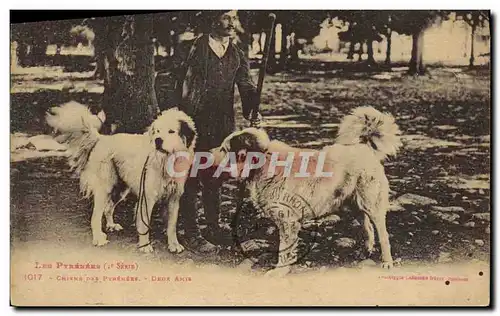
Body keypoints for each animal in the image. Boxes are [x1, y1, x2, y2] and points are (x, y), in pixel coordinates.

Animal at [46, 102, 196, 254]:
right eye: (157, 131)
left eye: (171, 131)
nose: (157, 140)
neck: (166, 161)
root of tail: (101, 138)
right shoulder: (147, 198)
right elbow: (144, 224)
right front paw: (145, 245)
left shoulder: (174, 198)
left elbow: (172, 225)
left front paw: (174, 244)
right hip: (105, 188)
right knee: (96, 216)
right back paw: (98, 238)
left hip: (120, 189)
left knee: (108, 208)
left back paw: (111, 225)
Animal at [210, 105, 402, 274]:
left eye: (224, 149)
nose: (208, 153)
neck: (264, 162)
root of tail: (363, 146)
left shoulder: (288, 221)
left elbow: (285, 250)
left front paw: (279, 271)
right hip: (354, 203)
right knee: (367, 226)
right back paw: (366, 250)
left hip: (372, 204)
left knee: (383, 234)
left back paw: (387, 262)